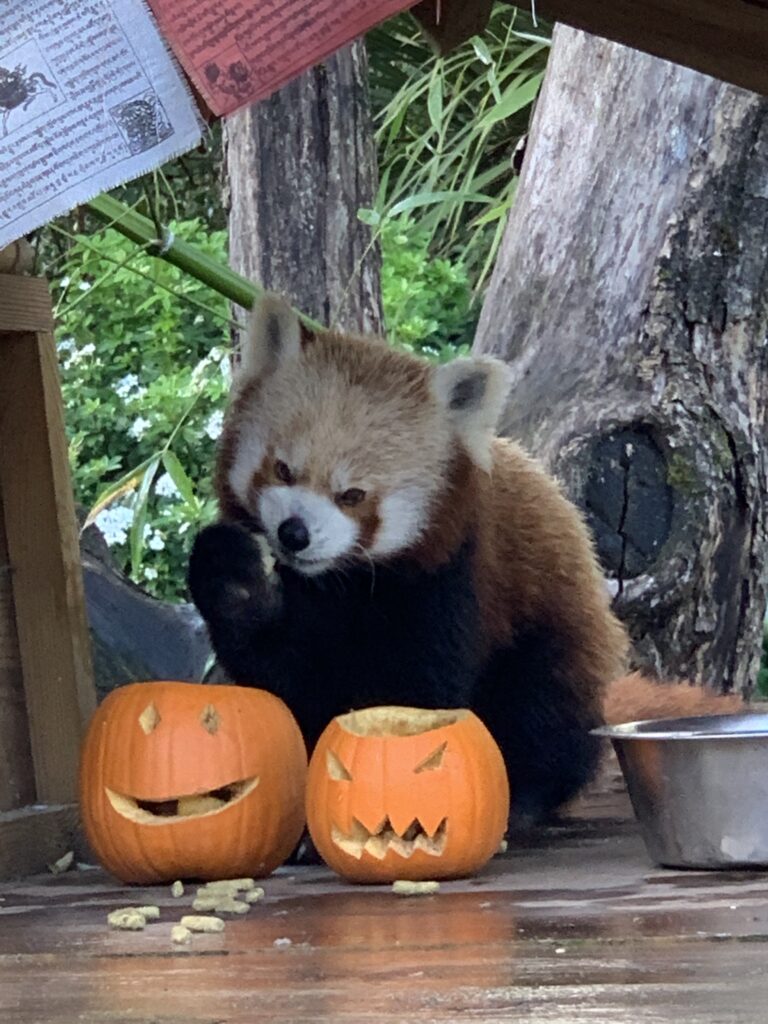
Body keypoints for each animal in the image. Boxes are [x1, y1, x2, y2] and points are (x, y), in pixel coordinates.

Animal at [188, 292, 745, 827]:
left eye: (353, 495)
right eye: (283, 469)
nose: (294, 533)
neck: (335, 583)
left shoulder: (446, 579)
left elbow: (414, 691)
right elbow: (281, 679)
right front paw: (234, 578)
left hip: (556, 632)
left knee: (542, 711)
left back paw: (527, 797)